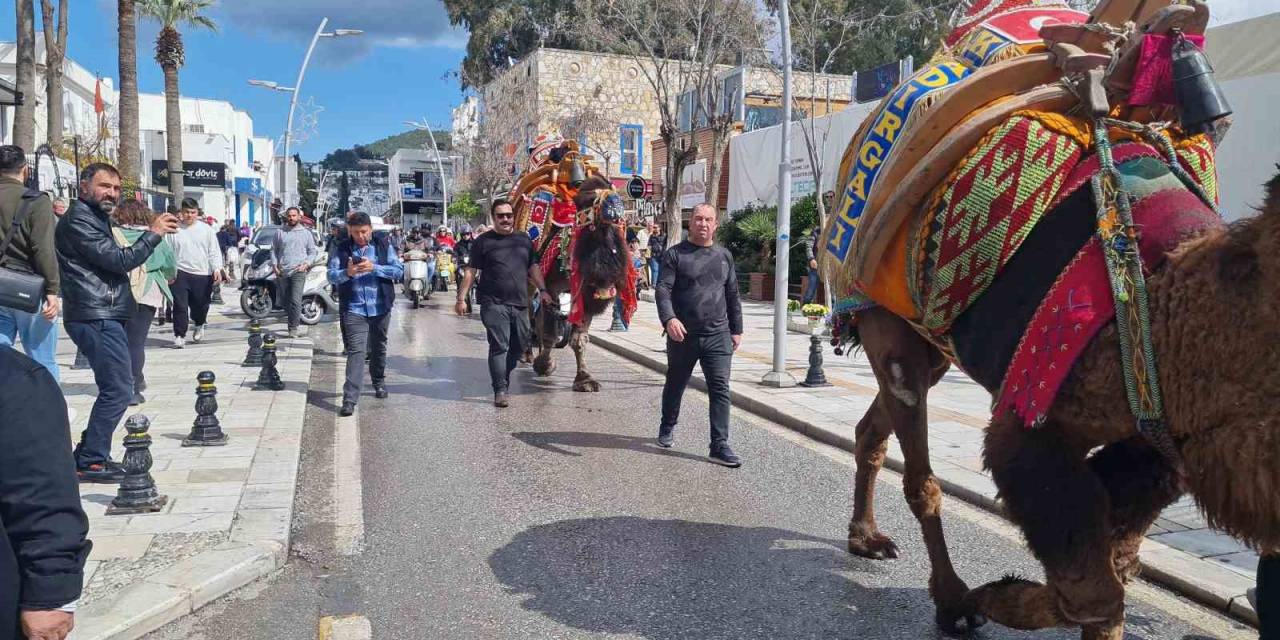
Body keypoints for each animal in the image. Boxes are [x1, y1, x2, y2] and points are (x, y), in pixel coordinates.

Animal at [504, 137, 634, 391]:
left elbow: (578, 338)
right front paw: (545, 365)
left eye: (620, 226)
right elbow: (548, 334)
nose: (606, 284)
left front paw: (584, 379)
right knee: (529, 313)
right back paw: (526, 354)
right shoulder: (550, 287)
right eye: (590, 227)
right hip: (528, 281)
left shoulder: (585, 295)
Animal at [814, 1, 1274, 640]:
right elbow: (1093, 589)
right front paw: (993, 596)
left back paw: (867, 539)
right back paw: (952, 600)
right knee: (918, 473)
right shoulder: (1037, 416)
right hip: (887, 324)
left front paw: (1008, 595)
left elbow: (1114, 567)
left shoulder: (1156, 437)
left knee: (872, 429)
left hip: (934, 348)